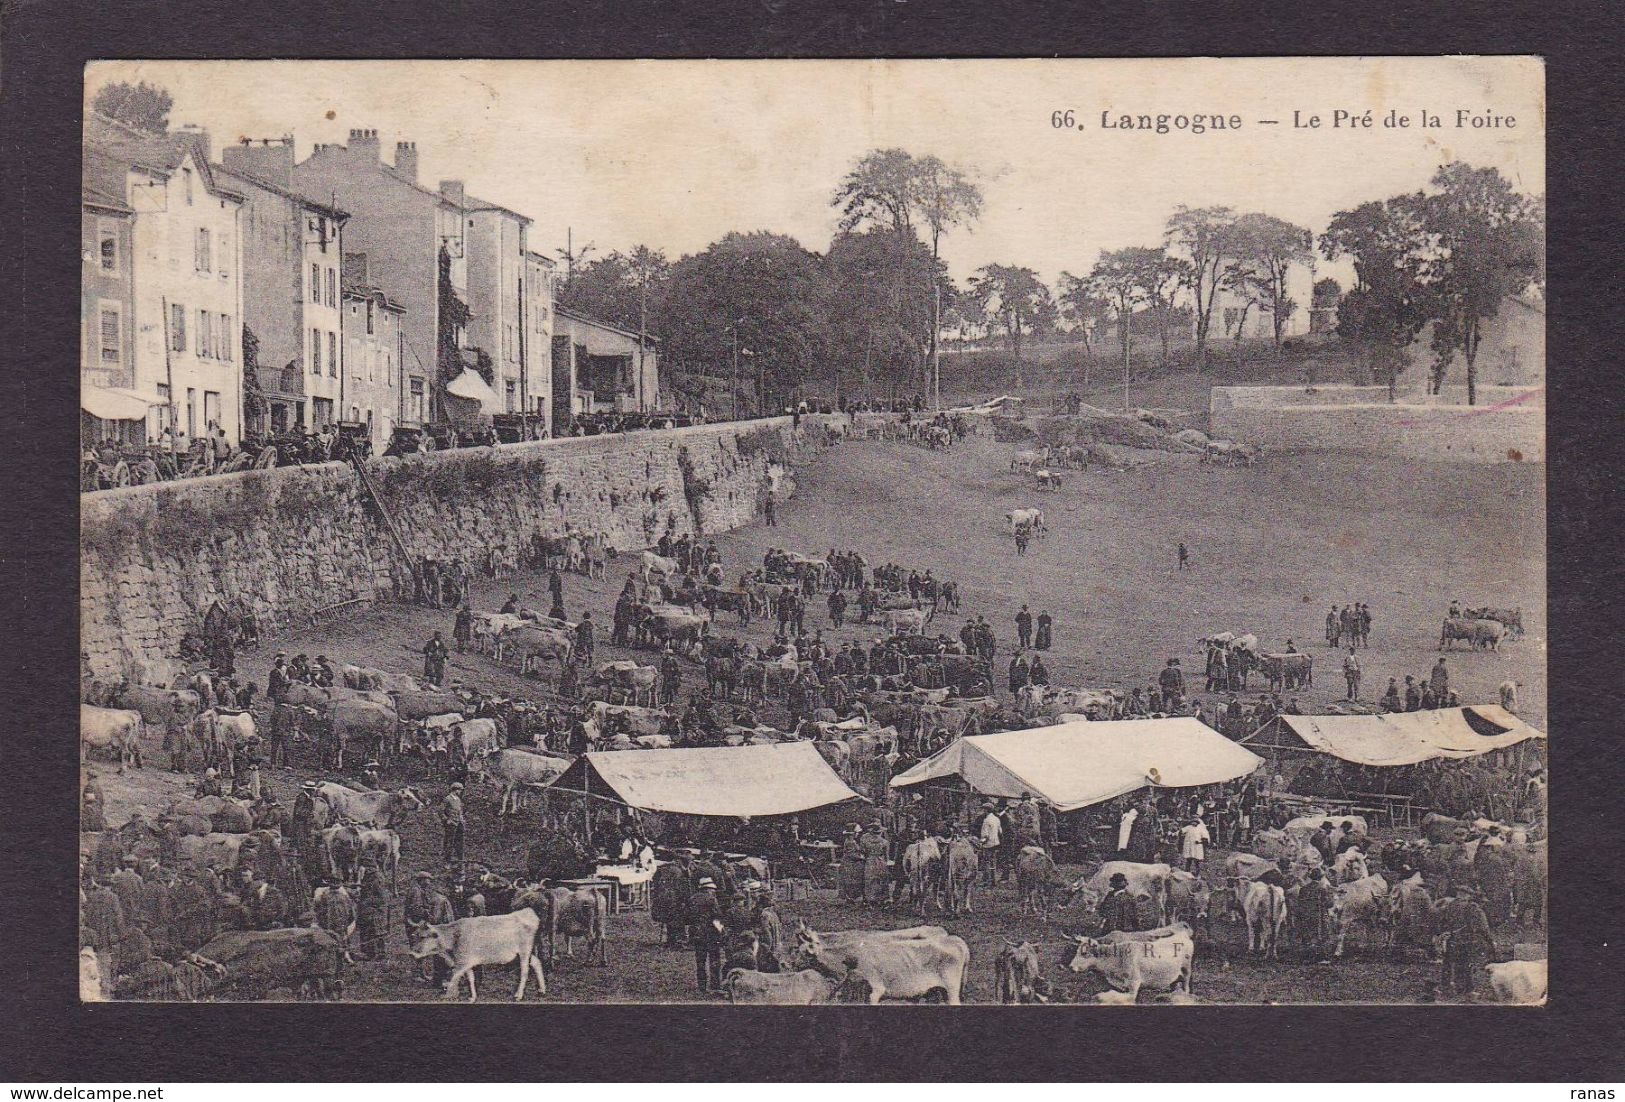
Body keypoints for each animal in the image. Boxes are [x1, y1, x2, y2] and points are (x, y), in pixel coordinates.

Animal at [409, 910, 549, 1007]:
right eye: (415, 934)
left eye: (423, 937)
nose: (411, 953)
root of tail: (528, 912)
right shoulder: (466, 962)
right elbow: (470, 978)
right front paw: (472, 998)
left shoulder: (462, 962)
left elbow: (454, 977)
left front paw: (448, 995)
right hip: (522, 953)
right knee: (537, 963)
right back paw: (542, 990)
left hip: (524, 950)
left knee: (524, 971)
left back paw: (519, 995)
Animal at [1066, 929, 1196, 1007]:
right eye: (1077, 951)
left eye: (1084, 953)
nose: (1071, 967)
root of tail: (1182, 934)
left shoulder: (1134, 983)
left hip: (1186, 970)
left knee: (1186, 987)